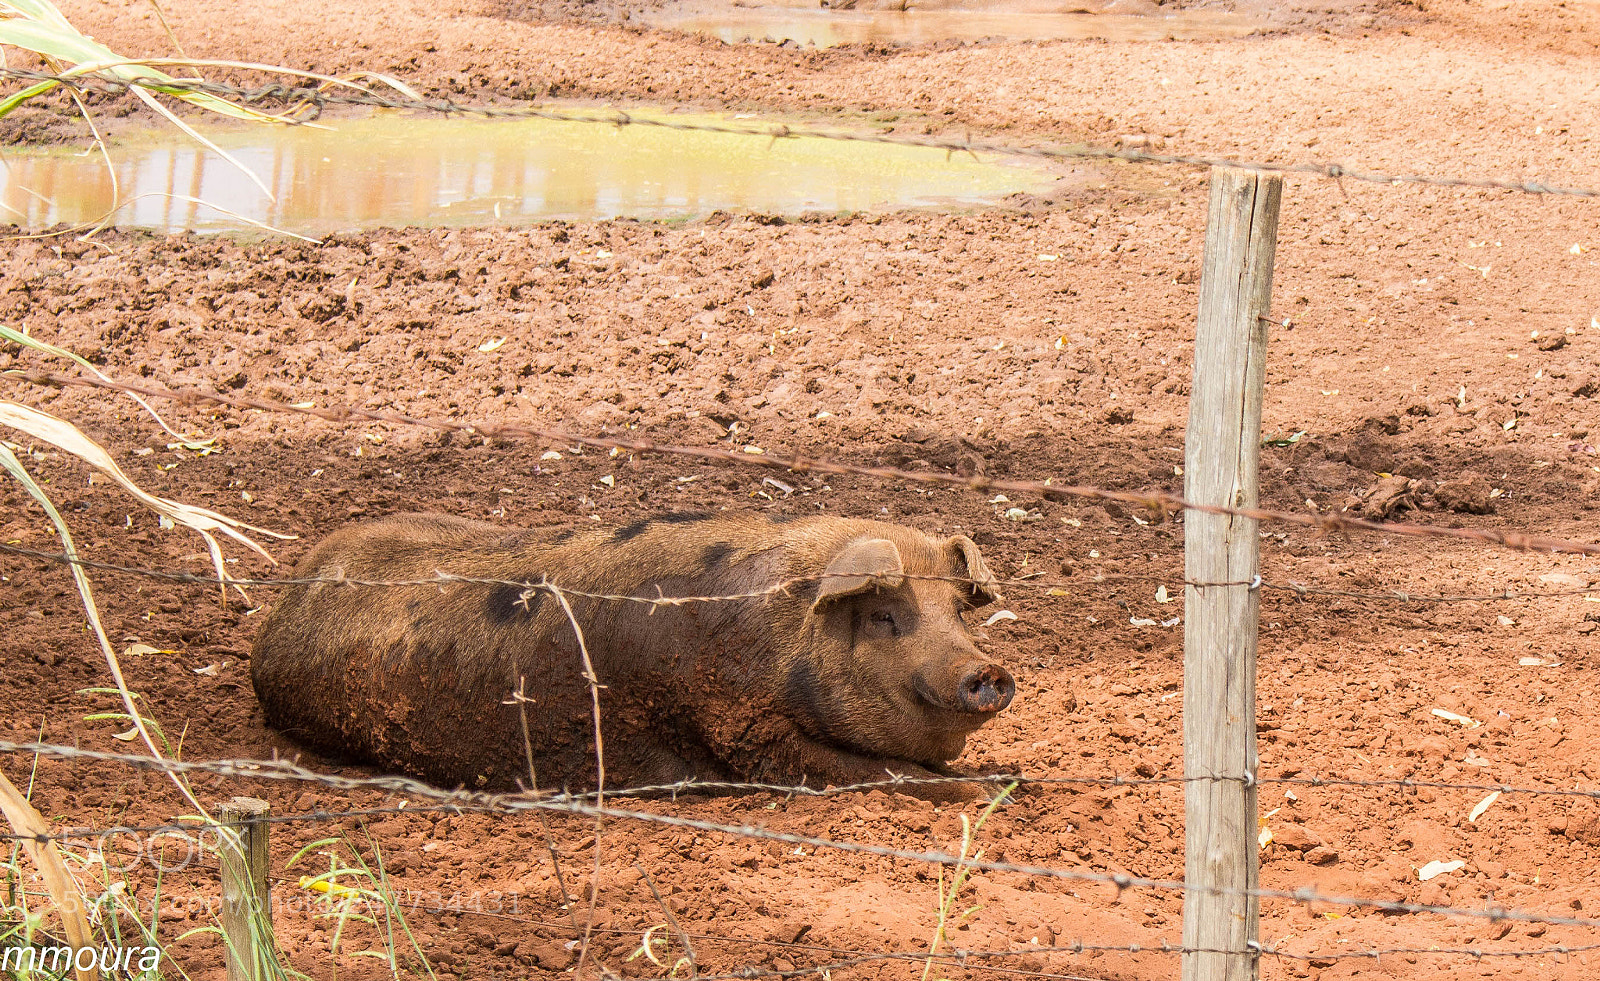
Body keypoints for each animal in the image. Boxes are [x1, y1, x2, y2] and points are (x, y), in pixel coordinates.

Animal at [250, 511, 1016, 795]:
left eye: (956, 611)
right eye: (885, 616)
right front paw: (982, 792)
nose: (987, 671)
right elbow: (880, 772)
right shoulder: (746, 737)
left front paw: (1007, 779)